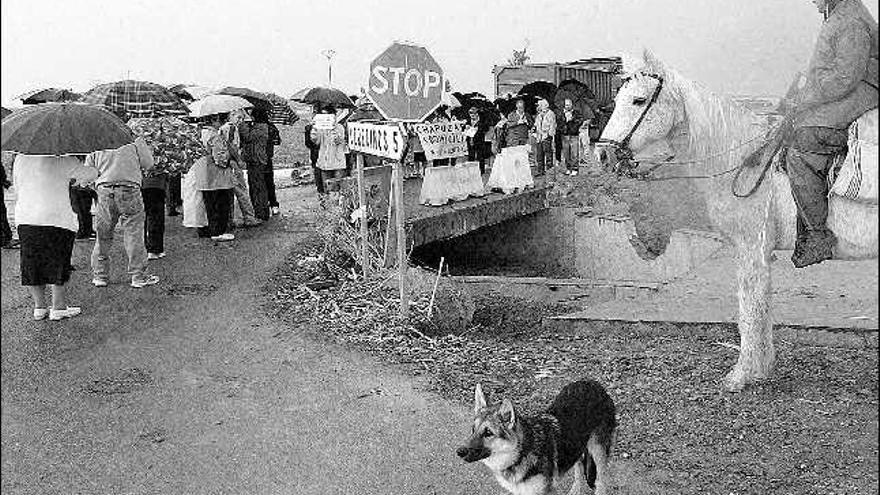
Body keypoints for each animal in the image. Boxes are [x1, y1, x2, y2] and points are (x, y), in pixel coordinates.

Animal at [458, 382, 616, 494]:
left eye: (488, 433)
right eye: (473, 429)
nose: (459, 451)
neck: (522, 453)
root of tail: (595, 384)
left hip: (598, 450)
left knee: (602, 479)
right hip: (576, 446)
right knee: (579, 468)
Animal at [596, 50, 876, 392]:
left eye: (638, 100)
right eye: (617, 99)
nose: (602, 155)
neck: (746, 161)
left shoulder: (749, 247)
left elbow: (749, 307)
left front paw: (741, 375)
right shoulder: (758, 252)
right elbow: (761, 307)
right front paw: (762, 368)